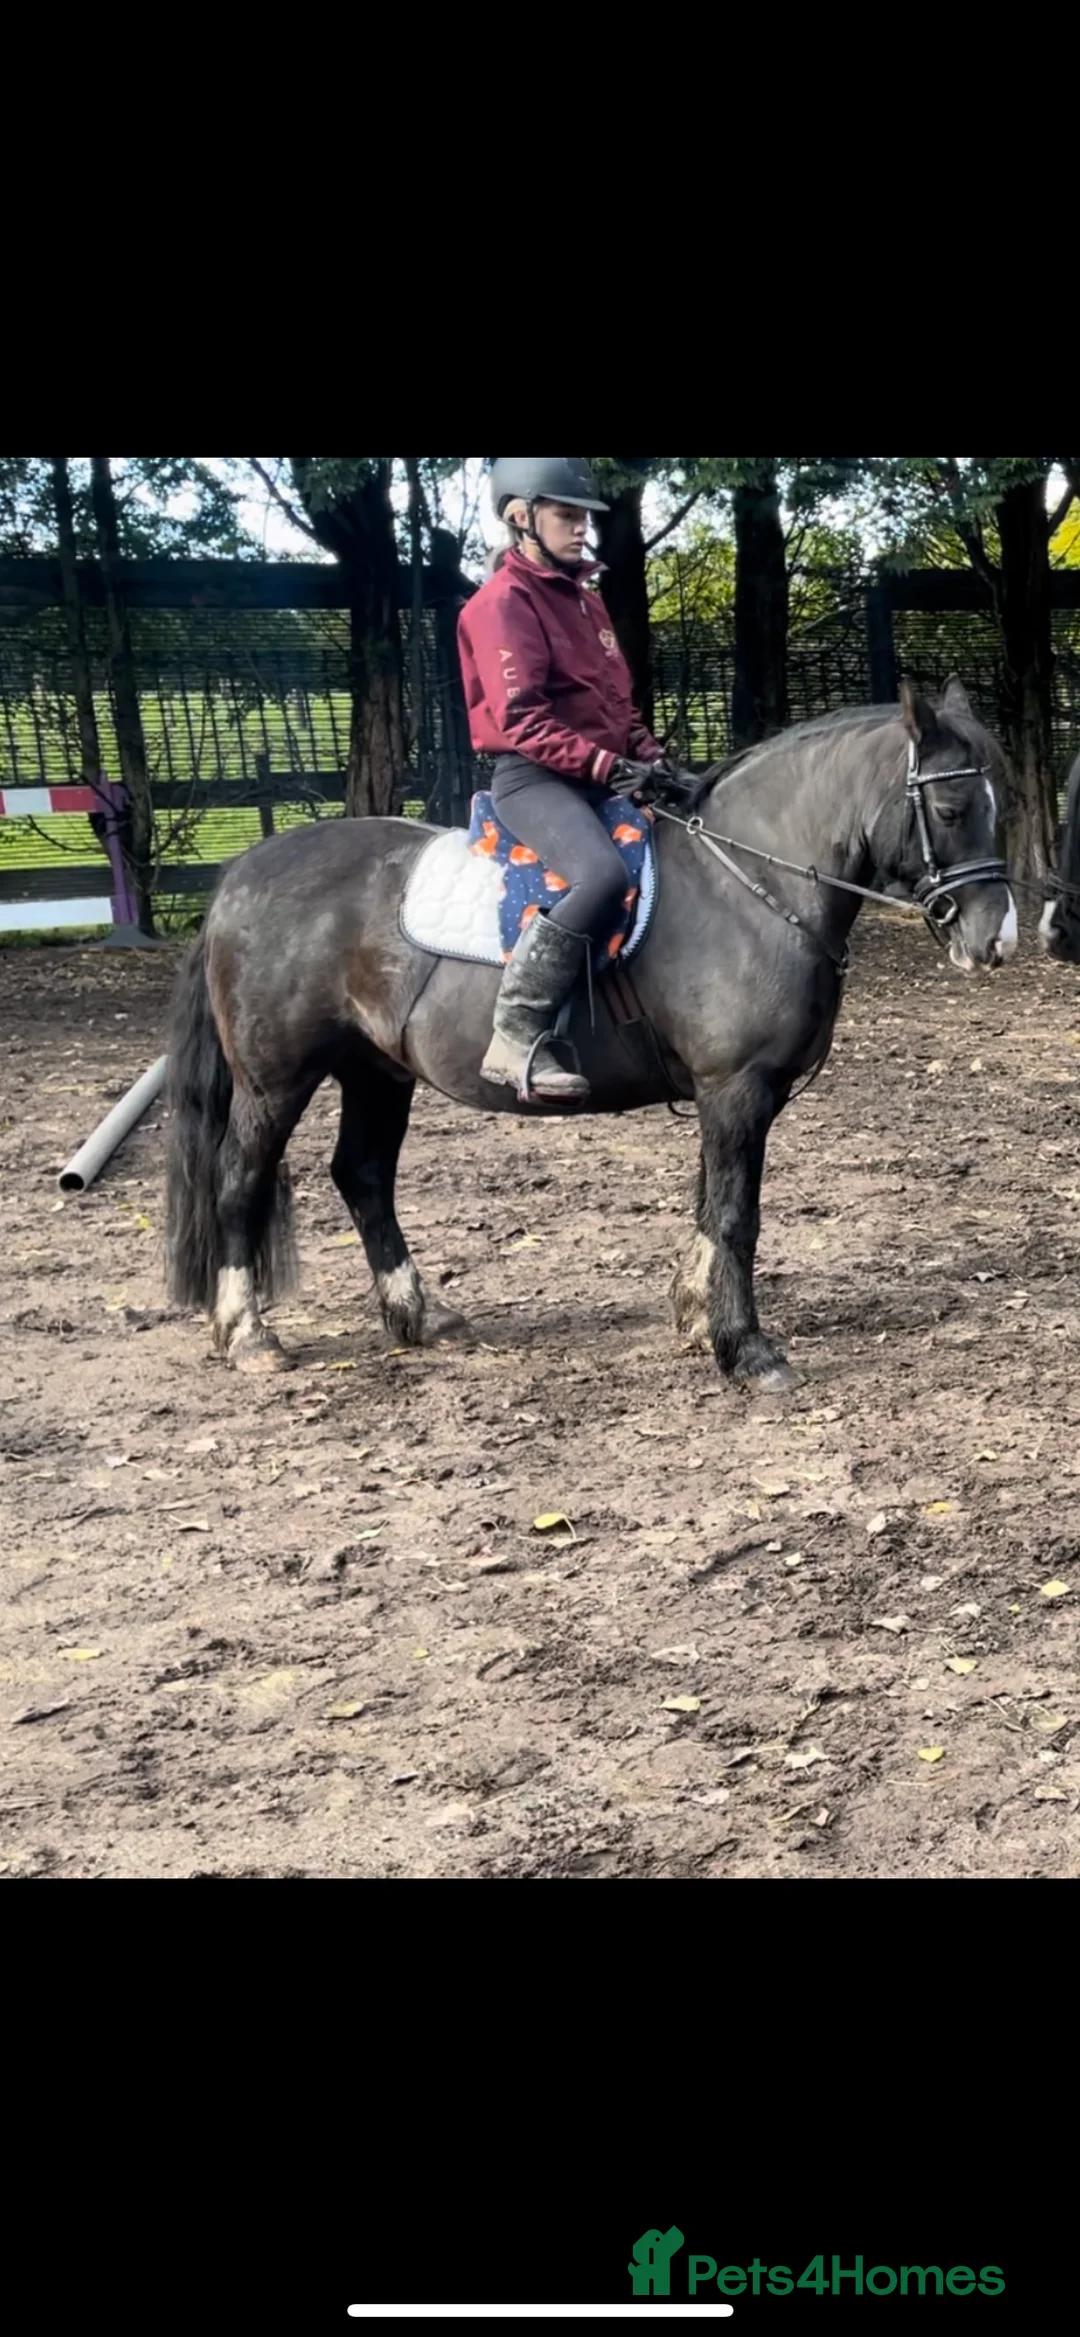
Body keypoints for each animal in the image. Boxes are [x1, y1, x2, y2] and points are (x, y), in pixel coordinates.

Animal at [163, 676, 1015, 1393]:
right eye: (949, 810)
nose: (996, 939)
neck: (746, 883)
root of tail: (241, 875)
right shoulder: (735, 1088)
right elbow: (736, 1215)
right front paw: (745, 1349)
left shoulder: (731, 1097)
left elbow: (708, 1202)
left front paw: (697, 1313)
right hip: (276, 1082)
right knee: (239, 1181)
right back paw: (248, 1332)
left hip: (377, 1071)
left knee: (363, 1175)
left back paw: (417, 1314)